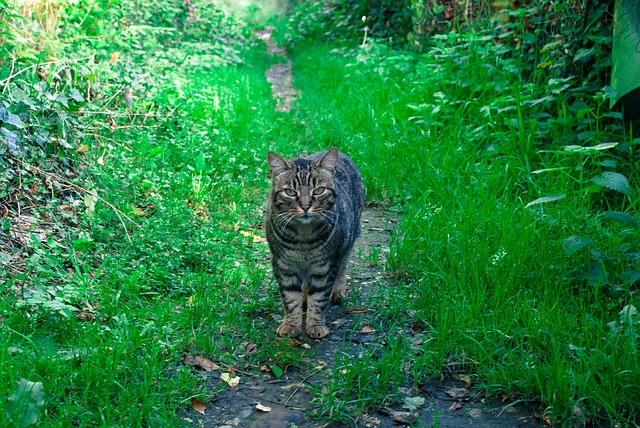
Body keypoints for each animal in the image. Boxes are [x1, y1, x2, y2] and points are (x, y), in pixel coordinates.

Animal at [264, 147, 364, 338]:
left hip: (347, 243)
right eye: (290, 192)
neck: (303, 239)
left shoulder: (325, 266)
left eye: (318, 190)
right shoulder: (283, 265)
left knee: (343, 267)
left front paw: (316, 325)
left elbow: (318, 298)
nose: (305, 206)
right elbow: (290, 298)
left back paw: (338, 291)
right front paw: (291, 325)